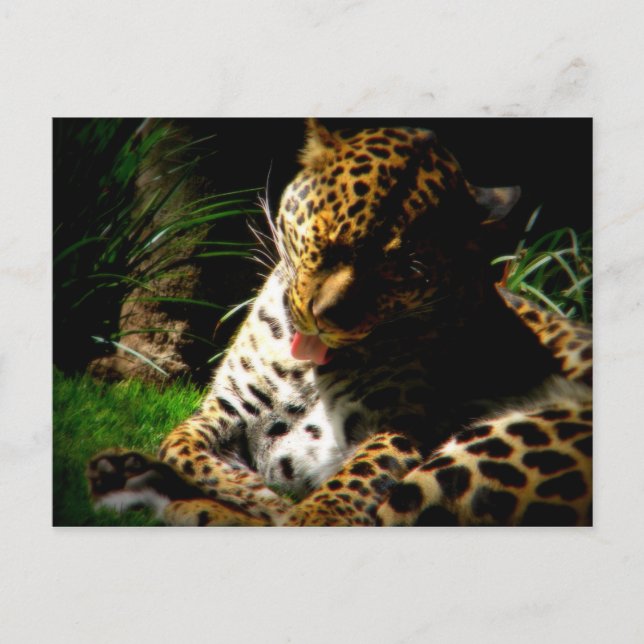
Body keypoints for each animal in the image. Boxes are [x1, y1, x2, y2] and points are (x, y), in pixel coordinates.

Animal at [86, 119, 592, 527]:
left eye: (407, 271)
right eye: (325, 237)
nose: (325, 317)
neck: (304, 370)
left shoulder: (402, 426)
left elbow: (342, 494)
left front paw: (278, 504)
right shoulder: (227, 407)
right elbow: (180, 445)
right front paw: (249, 491)